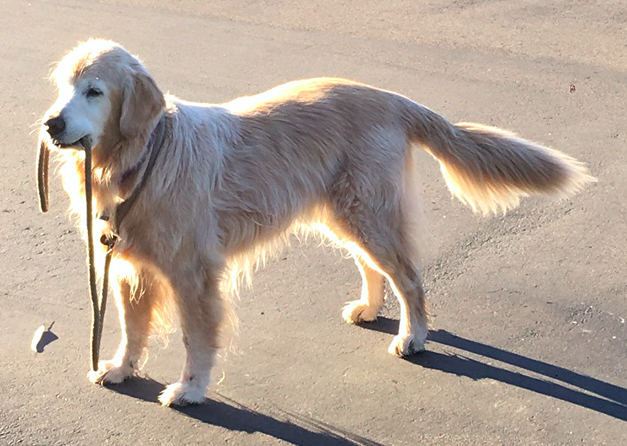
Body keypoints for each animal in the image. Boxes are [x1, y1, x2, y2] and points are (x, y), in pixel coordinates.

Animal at [36, 40, 596, 406]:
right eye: (63, 87)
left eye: (94, 91)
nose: (51, 122)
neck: (145, 155)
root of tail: (390, 97)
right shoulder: (131, 268)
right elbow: (132, 330)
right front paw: (120, 369)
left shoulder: (193, 275)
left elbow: (198, 339)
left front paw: (191, 389)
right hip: (346, 217)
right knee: (375, 270)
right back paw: (369, 309)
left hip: (369, 214)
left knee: (411, 279)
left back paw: (413, 337)